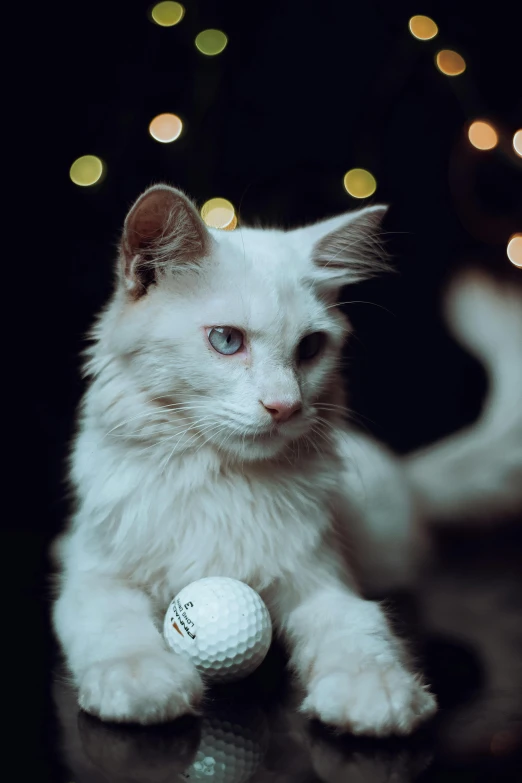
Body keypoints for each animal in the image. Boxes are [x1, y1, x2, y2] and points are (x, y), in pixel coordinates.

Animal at [51, 184, 520, 736]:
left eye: (311, 348)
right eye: (226, 341)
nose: (285, 407)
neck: (222, 480)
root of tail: (406, 476)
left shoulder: (323, 583)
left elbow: (360, 634)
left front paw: (373, 695)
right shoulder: (95, 578)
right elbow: (115, 627)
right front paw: (144, 682)